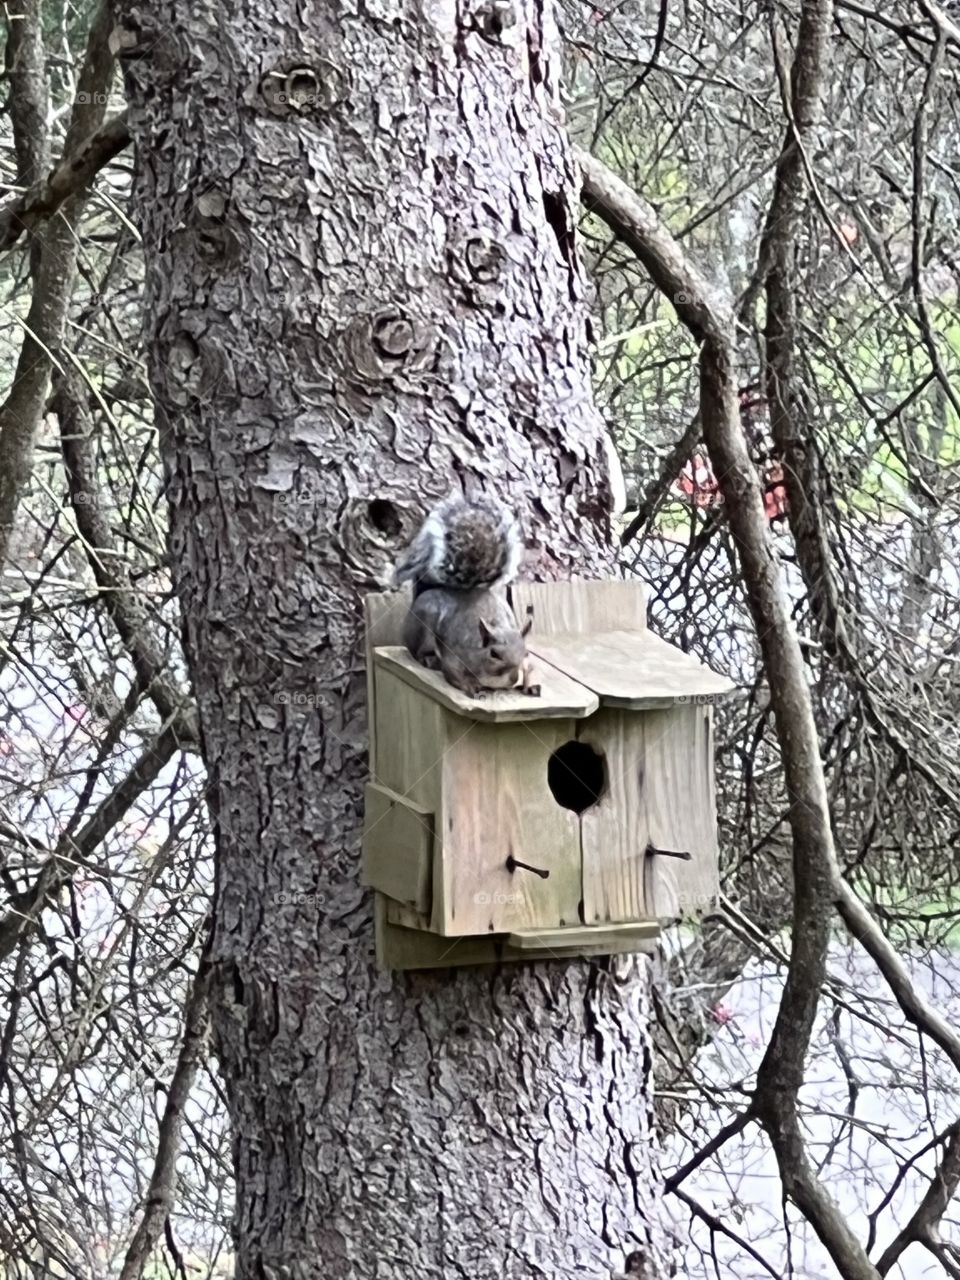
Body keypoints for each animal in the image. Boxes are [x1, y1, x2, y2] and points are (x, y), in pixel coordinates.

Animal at [393, 494, 541, 699]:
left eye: (526, 653)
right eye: (494, 654)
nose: (514, 678)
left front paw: (530, 685)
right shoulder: (455, 657)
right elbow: (454, 675)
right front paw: (472, 687)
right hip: (423, 626)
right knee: (419, 651)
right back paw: (428, 659)